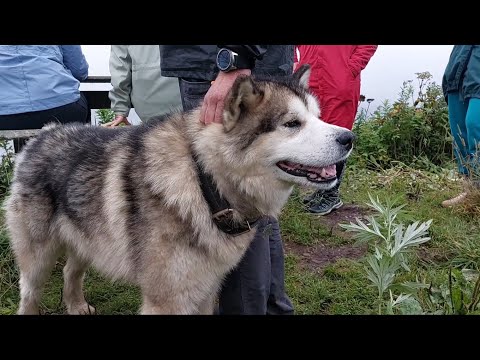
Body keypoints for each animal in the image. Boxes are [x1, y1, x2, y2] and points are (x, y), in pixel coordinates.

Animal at [5, 65, 354, 316]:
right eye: (292, 124)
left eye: (318, 118)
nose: (348, 138)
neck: (204, 183)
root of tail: (43, 133)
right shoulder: (167, 300)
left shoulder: (205, 291)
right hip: (38, 261)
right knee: (29, 294)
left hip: (86, 240)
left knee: (70, 272)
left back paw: (77, 306)